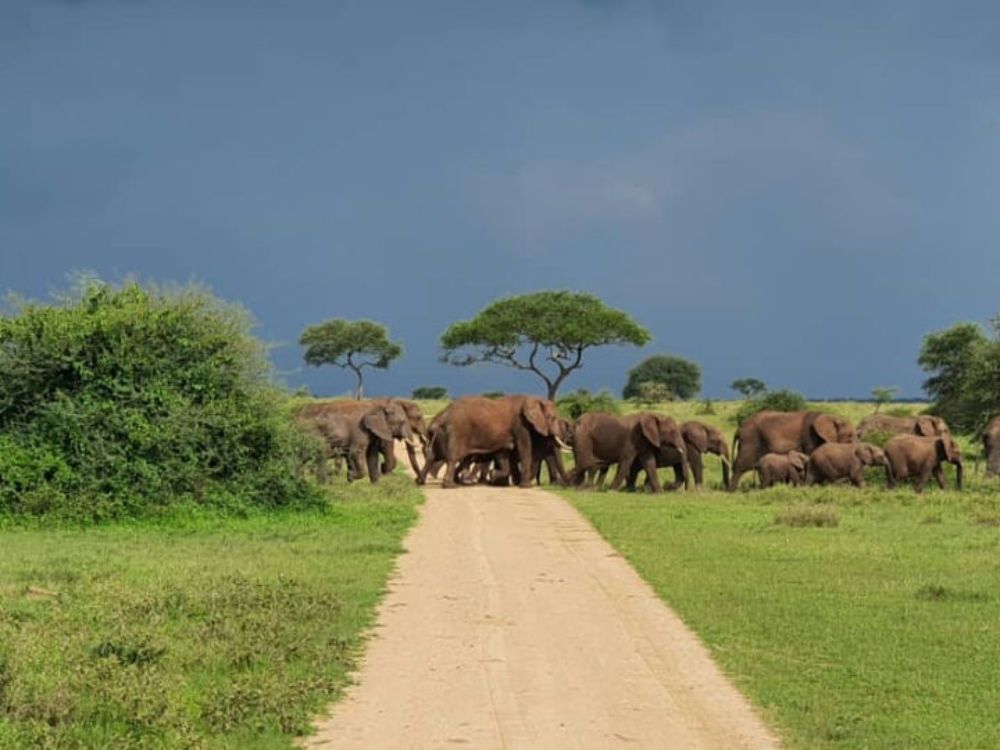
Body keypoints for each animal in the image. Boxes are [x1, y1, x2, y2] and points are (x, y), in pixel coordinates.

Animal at [415, 395, 565, 489]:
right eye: (552, 418)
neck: (532, 398)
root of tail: (443, 416)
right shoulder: (520, 426)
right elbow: (524, 450)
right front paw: (525, 487)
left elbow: (507, 454)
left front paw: (503, 481)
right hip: (456, 432)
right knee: (453, 457)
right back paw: (451, 486)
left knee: (433, 457)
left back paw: (421, 482)